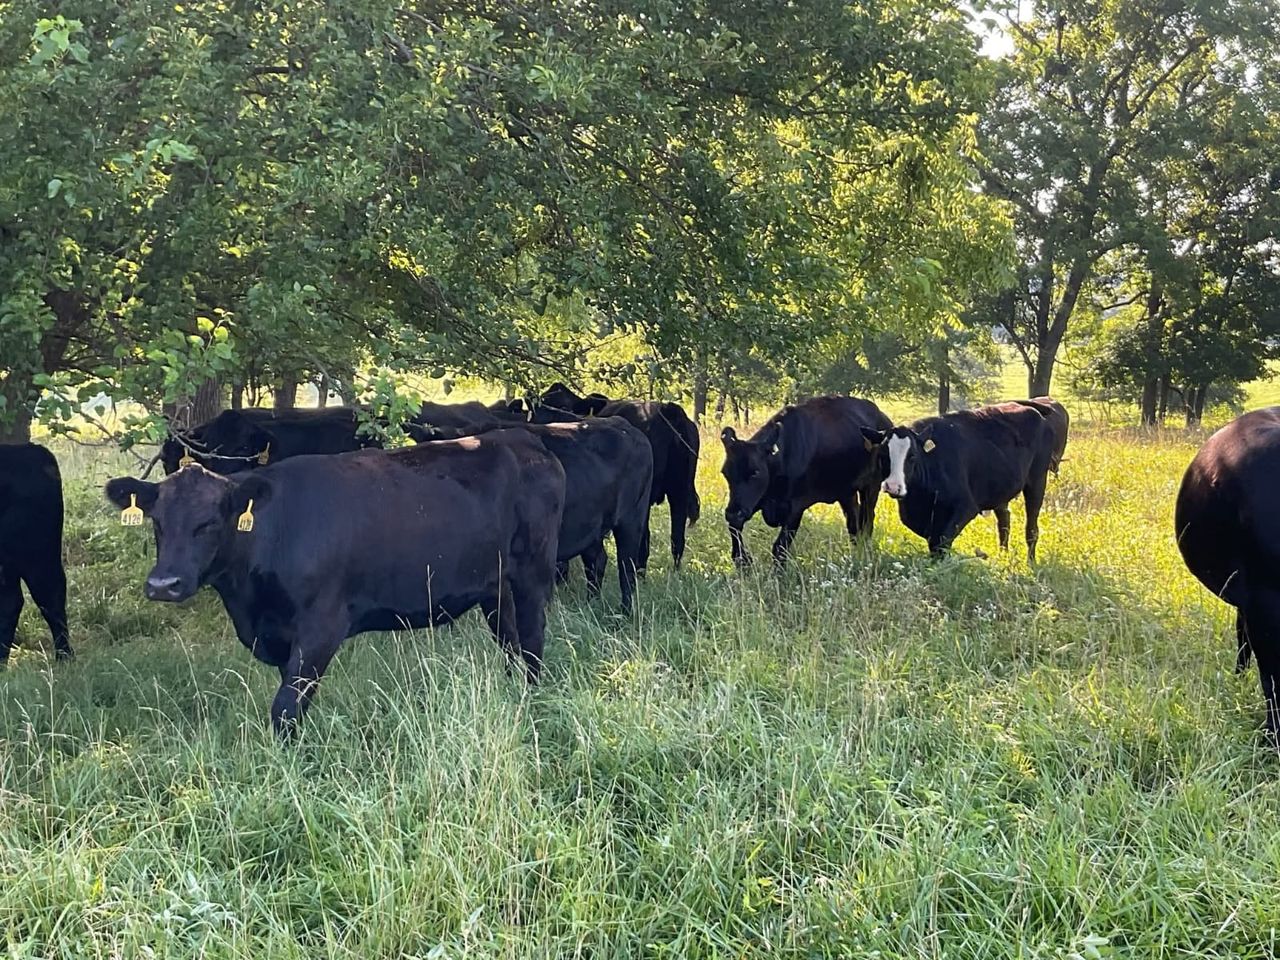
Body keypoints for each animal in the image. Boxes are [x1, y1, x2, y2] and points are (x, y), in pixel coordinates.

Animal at [106, 430, 566, 735]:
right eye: (157, 522)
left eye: (209, 523)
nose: (163, 584)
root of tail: (526, 443)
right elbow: (291, 698)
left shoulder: (322, 626)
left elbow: (285, 707)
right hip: (496, 587)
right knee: (510, 643)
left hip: (532, 574)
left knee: (532, 641)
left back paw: (534, 699)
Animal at [720, 395, 892, 566]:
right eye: (725, 472)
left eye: (755, 472)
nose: (734, 513)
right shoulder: (754, 501)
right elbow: (734, 528)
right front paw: (742, 559)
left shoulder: (795, 507)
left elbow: (780, 548)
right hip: (847, 492)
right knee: (853, 525)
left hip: (871, 486)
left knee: (867, 522)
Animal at [862, 402, 1055, 560]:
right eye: (882, 455)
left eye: (912, 456)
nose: (893, 487)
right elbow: (934, 541)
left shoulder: (966, 507)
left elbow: (942, 541)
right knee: (1004, 521)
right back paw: (1003, 557)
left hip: (1037, 480)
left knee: (1032, 527)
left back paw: (1031, 562)